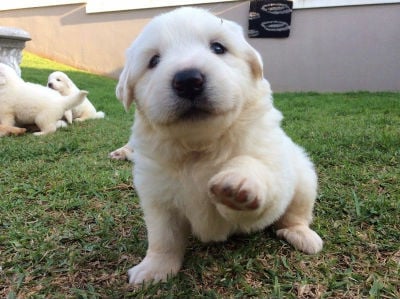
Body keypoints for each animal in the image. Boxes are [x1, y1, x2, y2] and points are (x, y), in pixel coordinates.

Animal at [117, 5, 324, 284]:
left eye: (217, 48)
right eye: (153, 61)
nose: (188, 80)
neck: (200, 147)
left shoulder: (274, 170)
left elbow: (253, 167)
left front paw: (238, 183)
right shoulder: (158, 199)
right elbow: (163, 238)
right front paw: (154, 268)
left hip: (304, 179)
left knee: (295, 214)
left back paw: (301, 235)